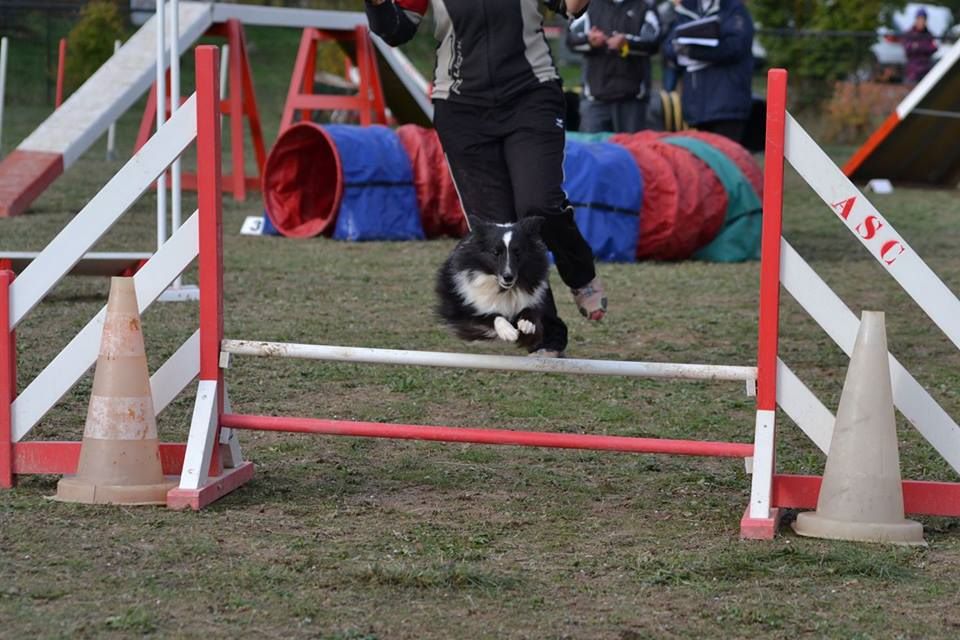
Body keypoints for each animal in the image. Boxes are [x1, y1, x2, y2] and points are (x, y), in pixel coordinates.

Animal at [436, 219, 548, 350]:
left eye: (517, 252)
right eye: (496, 252)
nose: (508, 277)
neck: (504, 289)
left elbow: (530, 309)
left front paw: (527, 323)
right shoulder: (464, 312)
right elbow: (490, 315)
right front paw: (508, 331)